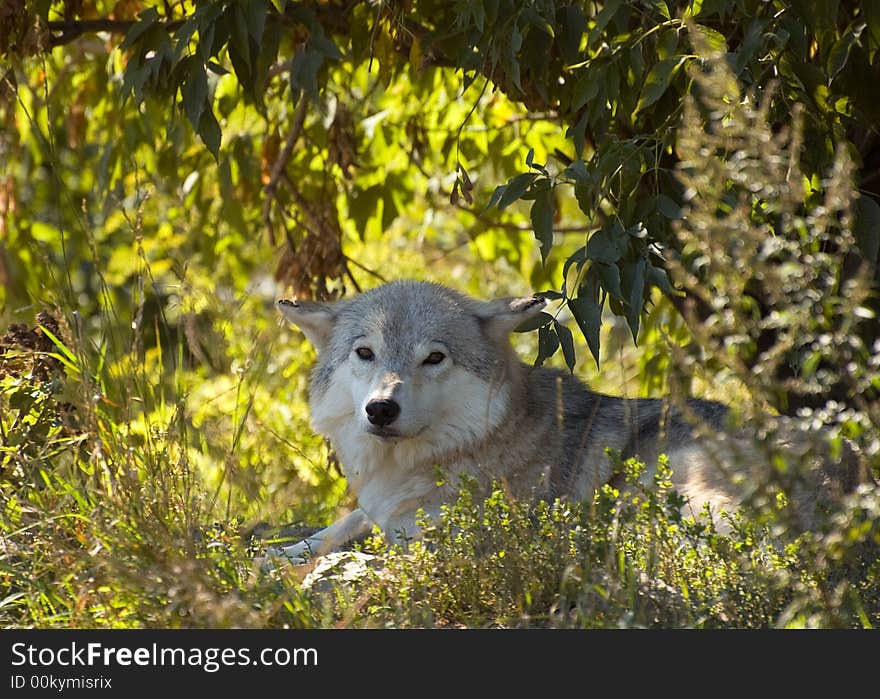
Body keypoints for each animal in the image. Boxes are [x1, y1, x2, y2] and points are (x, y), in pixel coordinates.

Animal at [268, 282, 860, 568]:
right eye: (365, 353)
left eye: (433, 358)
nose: (381, 410)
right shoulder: (376, 509)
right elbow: (340, 524)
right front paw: (277, 552)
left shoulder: (437, 539)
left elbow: (375, 543)